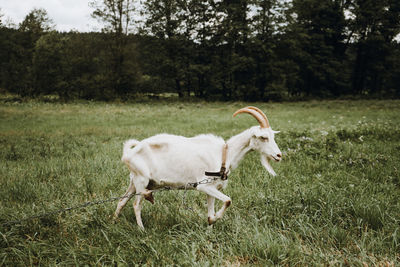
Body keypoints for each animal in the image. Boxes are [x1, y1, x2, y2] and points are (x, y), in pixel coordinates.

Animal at [112, 108, 282, 229]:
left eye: (273, 136)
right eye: (263, 137)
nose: (279, 155)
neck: (224, 154)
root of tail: (128, 153)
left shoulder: (212, 188)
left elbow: (212, 210)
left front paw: (211, 223)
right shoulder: (203, 186)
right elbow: (228, 200)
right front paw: (214, 219)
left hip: (135, 181)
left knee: (122, 201)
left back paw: (113, 221)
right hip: (141, 180)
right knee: (136, 204)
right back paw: (142, 228)